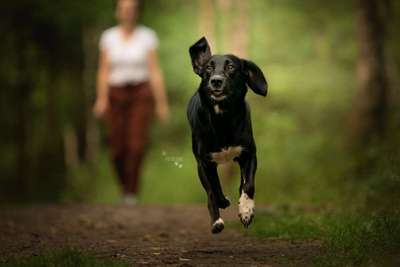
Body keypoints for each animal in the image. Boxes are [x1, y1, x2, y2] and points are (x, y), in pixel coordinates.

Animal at [186, 36, 268, 233]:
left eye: (231, 67)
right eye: (208, 68)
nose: (216, 81)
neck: (222, 118)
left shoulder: (249, 154)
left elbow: (249, 185)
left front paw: (246, 211)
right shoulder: (204, 163)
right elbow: (212, 191)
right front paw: (216, 220)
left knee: (242, 184)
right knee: (216, 188)